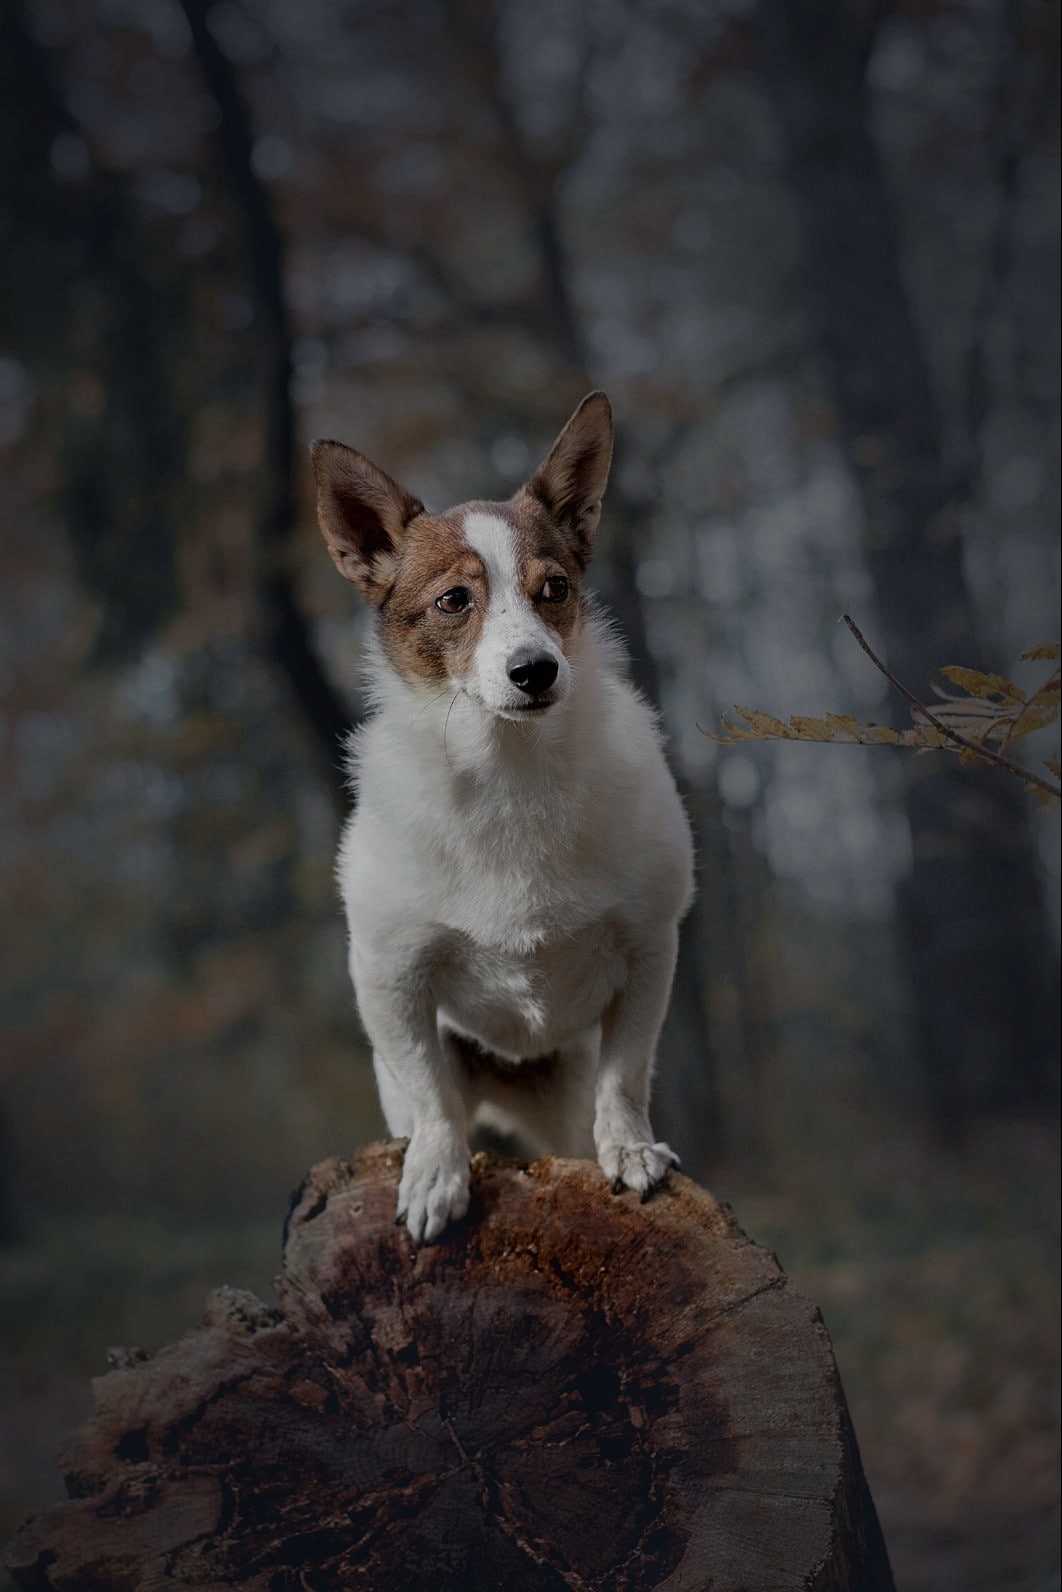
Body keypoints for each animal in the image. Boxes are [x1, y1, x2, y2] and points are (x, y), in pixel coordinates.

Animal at [312, 388, 694, 1241]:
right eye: (455, 601)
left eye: (553, 588)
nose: (535, 670)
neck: (511, 773)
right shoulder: (390, 977)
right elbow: (432, 1098)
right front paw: (435, 1175)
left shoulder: (648, 950)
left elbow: (627, 1075)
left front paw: (632, 1150)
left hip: (565, 1099)